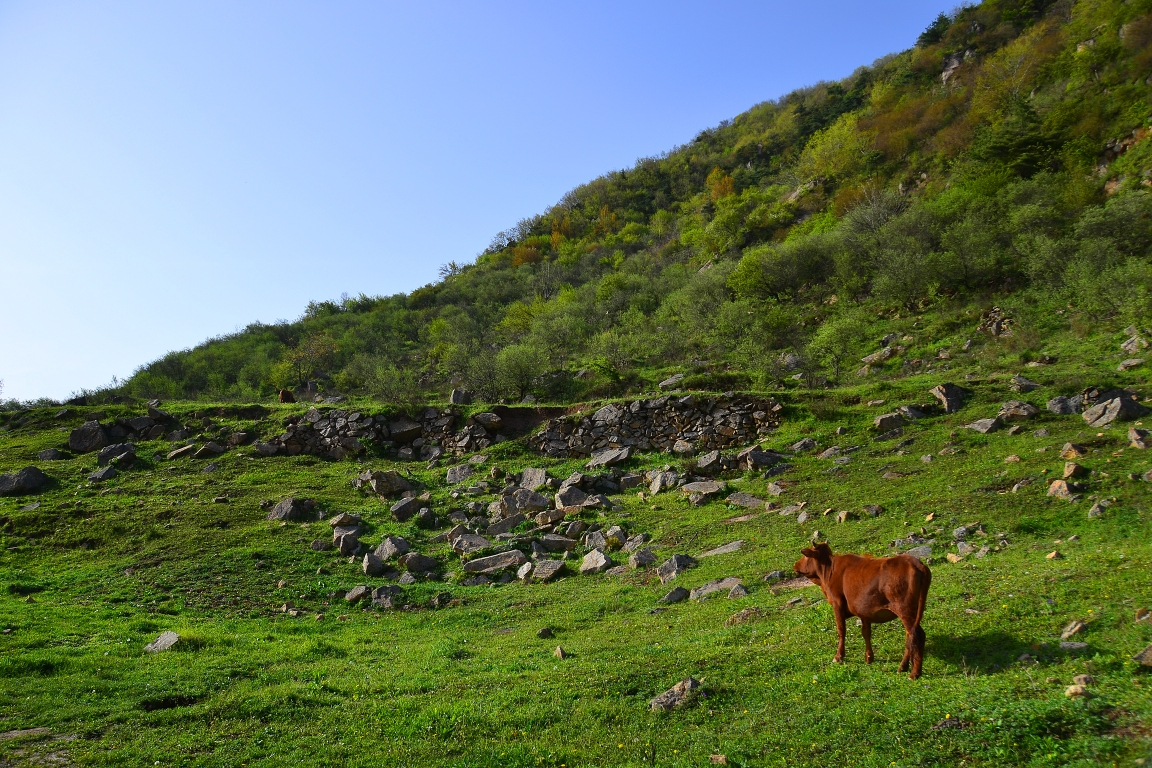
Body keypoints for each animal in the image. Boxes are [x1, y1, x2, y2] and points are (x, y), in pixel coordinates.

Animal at [797, 541, 930, 677]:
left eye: (805, 555)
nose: (795, 565)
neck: (828, 571)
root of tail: (917, 563)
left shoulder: (837, 604)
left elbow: (841, 630)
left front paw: (838, 657)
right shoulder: (864, 610)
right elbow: (866, 633)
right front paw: (869, 657)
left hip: (905, 609)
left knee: (917, 634)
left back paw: (914, 673)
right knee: (910, 636)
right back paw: (903, 667)